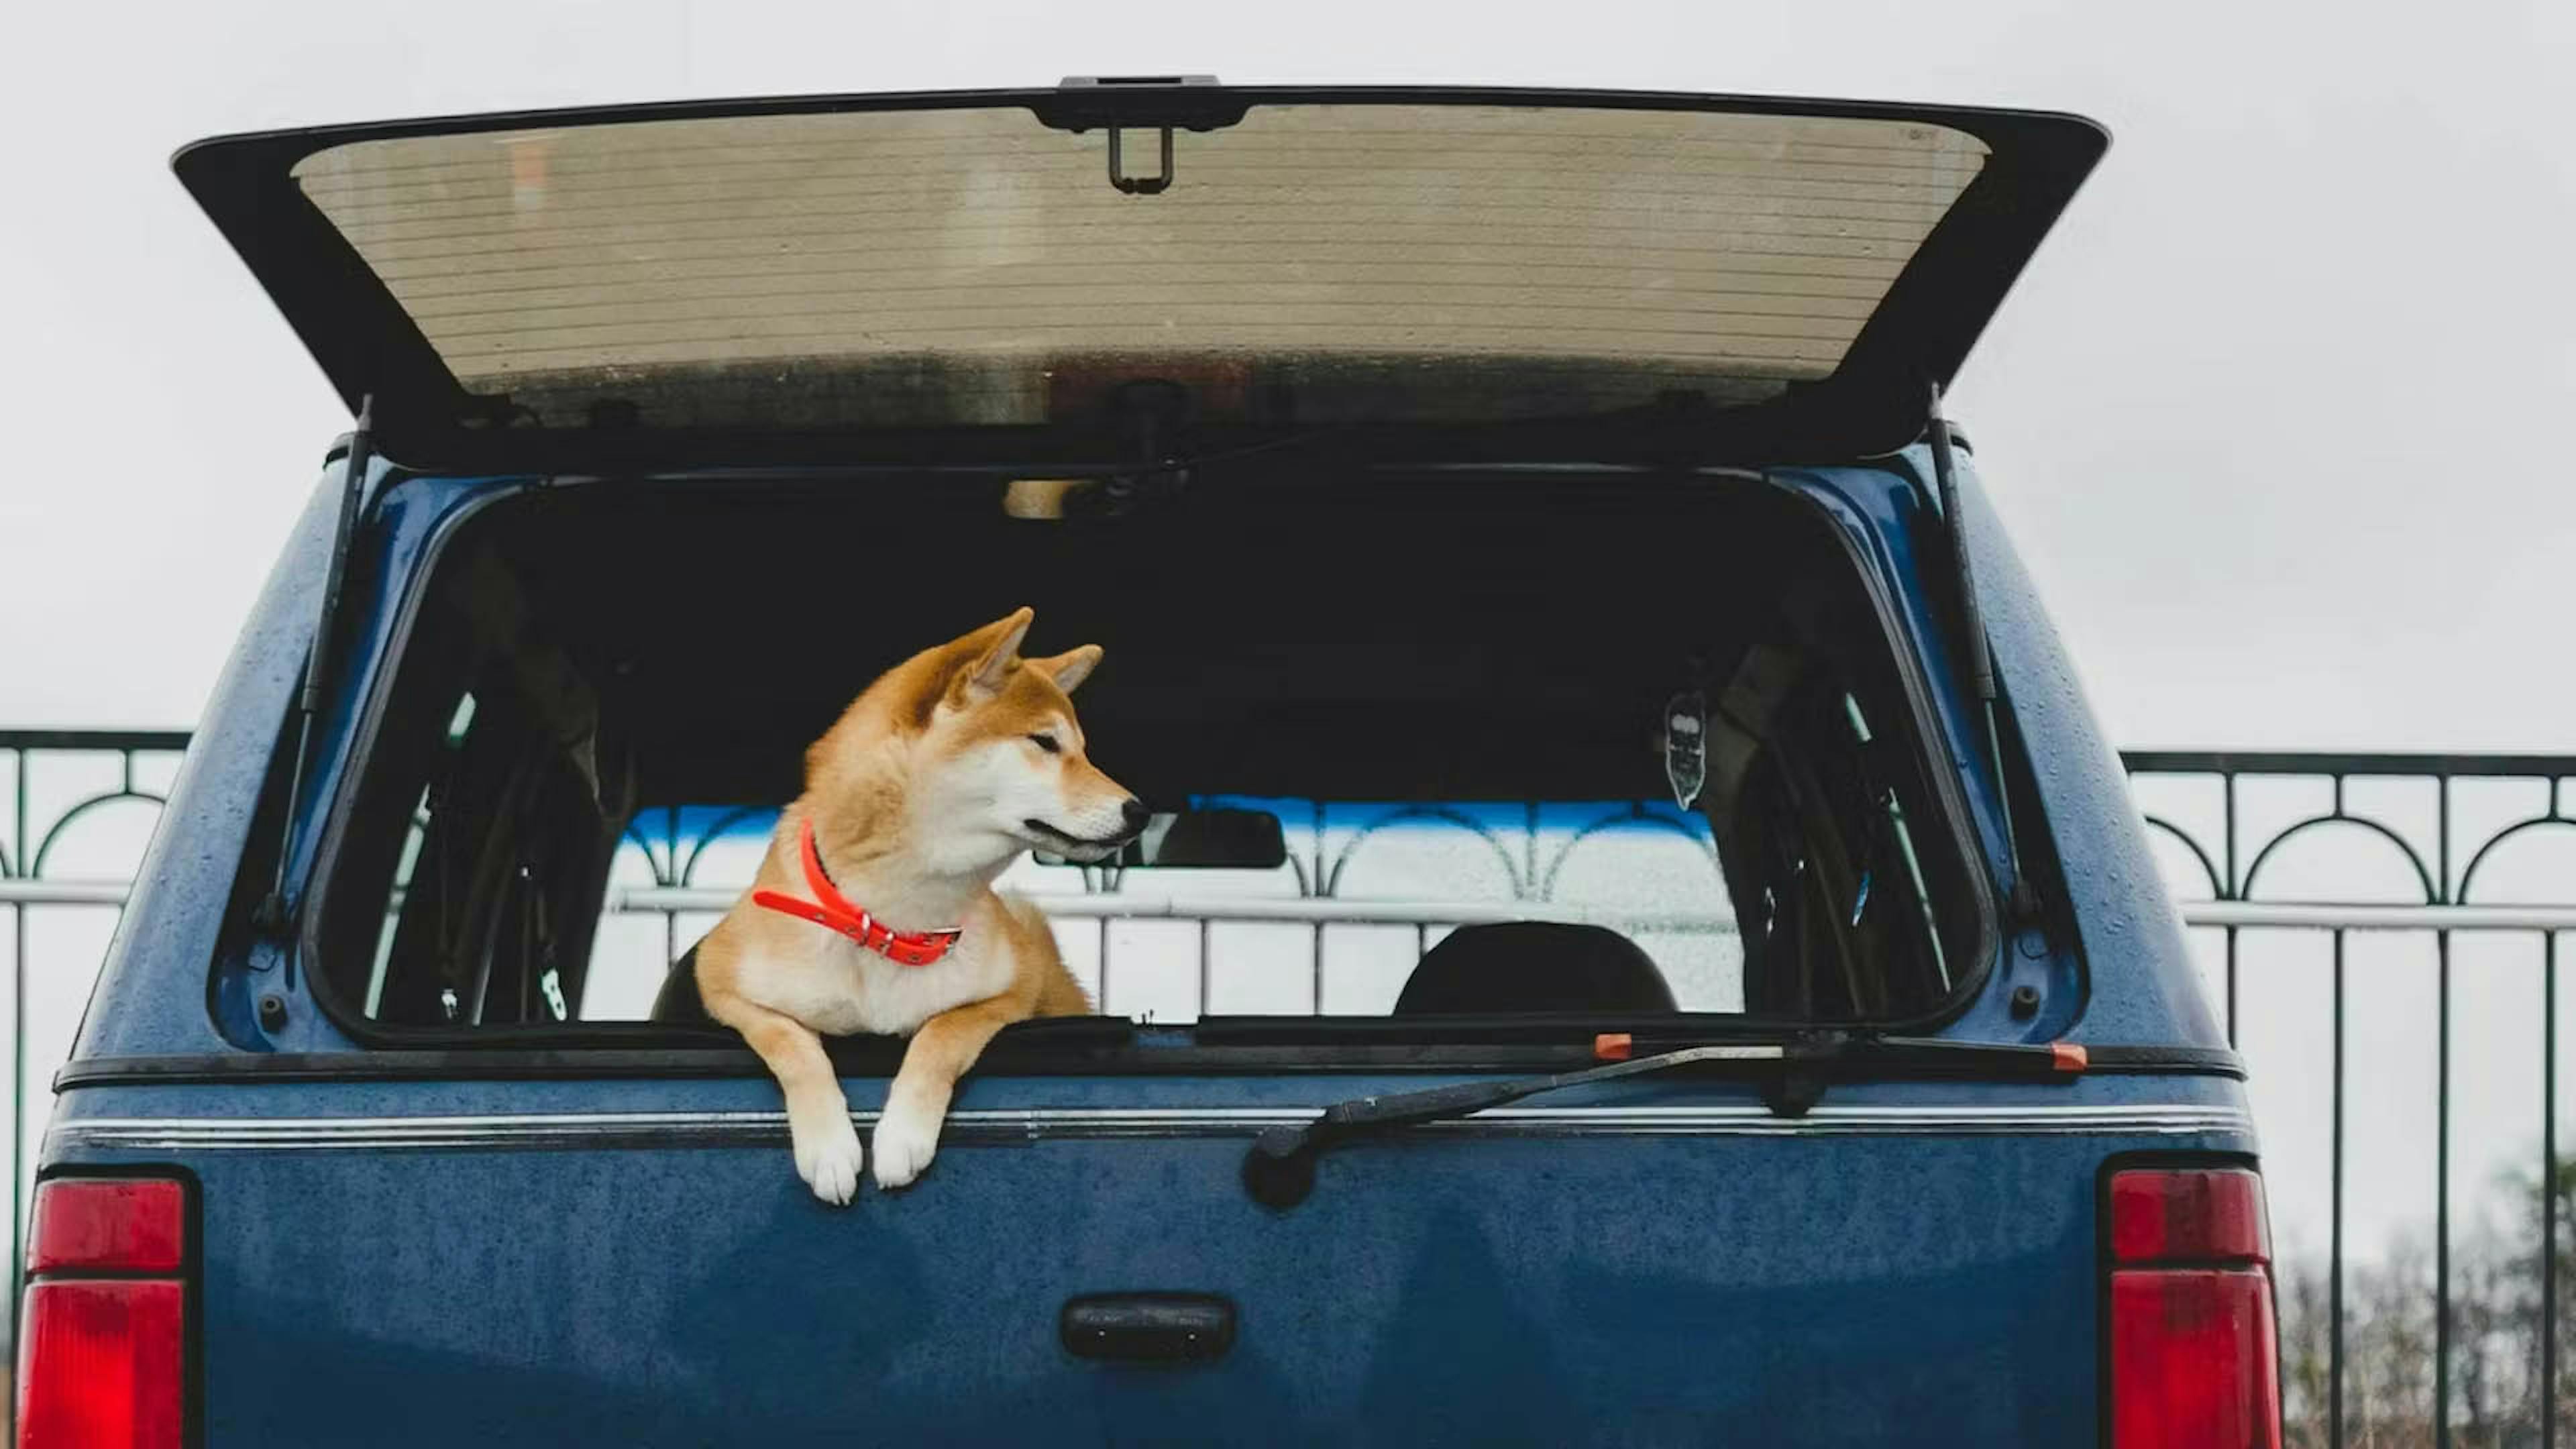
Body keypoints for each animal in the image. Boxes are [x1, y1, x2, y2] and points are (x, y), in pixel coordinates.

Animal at [669, 606, 1143, 1196]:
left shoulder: (1014, 989)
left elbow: (943, 1031)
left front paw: (902, 1137)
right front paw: (828, 1147)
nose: (1140, 811)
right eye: (1045, 742)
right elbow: (793, 1044)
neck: (892, 924)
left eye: (1080, 748)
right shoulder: (722, 984)